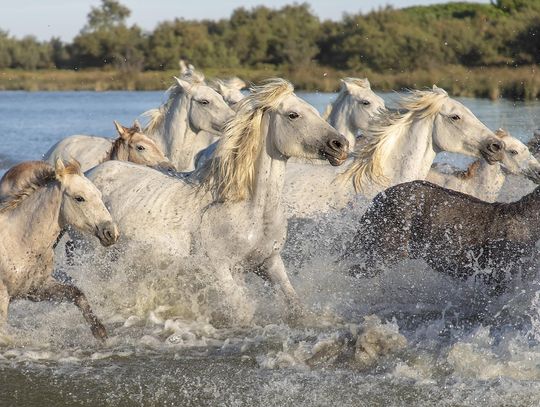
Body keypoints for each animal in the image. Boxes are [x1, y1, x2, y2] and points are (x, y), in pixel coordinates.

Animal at [0, 159, 118, 342]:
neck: (19, 240)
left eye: (99, 195)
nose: (111, 233)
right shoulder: (3, 297)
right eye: (79, 198)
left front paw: (99, 331)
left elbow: (77, 293)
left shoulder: (37, 289)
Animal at [87, 79, 350, 326]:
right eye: (293, 115)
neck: (249, 209)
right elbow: (243, 311)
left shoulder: (269, 262)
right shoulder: (219, 269)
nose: (340, 145)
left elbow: (295, 304)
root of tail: (91, 172)